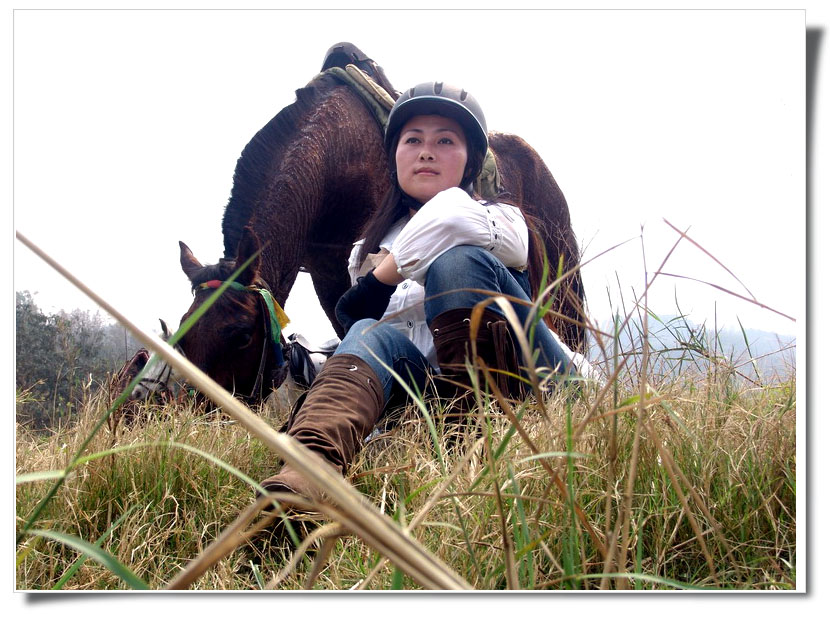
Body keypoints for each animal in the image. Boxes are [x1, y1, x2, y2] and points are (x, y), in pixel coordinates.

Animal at [180, 45, 588, 404]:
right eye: (184, 338)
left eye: (241, 336)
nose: (198, 412)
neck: (335, 155)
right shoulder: (326, 268)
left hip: (561, 278)